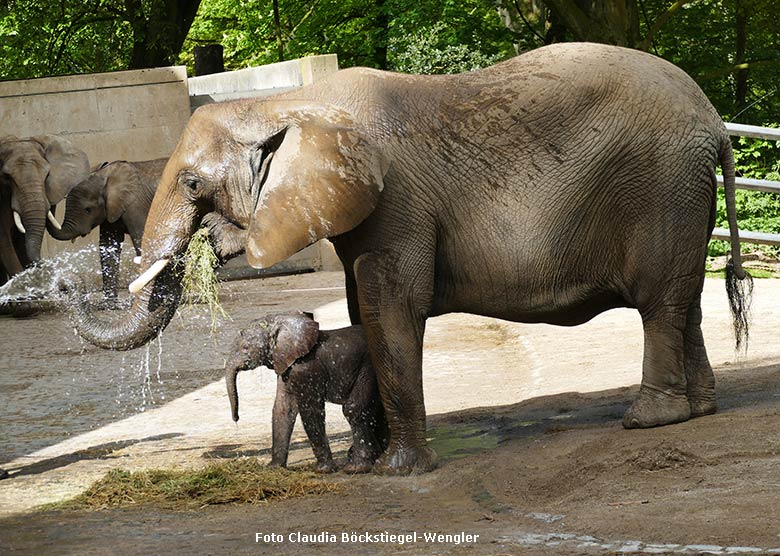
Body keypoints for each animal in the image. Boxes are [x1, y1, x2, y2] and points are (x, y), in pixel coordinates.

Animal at [46, 156, 165, 304]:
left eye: (88, 210)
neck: (105, 176)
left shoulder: (136, 205)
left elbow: (141, 239)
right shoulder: (110, 210)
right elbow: (108, 246)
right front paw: (110, 304)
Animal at [225, 312, 390, 474]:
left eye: (245, 347)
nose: (236, 419)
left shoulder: (306, 370)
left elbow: (310, 411)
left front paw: (323, 470)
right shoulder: (285, 367)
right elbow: (282, 410)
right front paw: (273, 469)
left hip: (370, 368)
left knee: (353, 409)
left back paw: (356, 468)